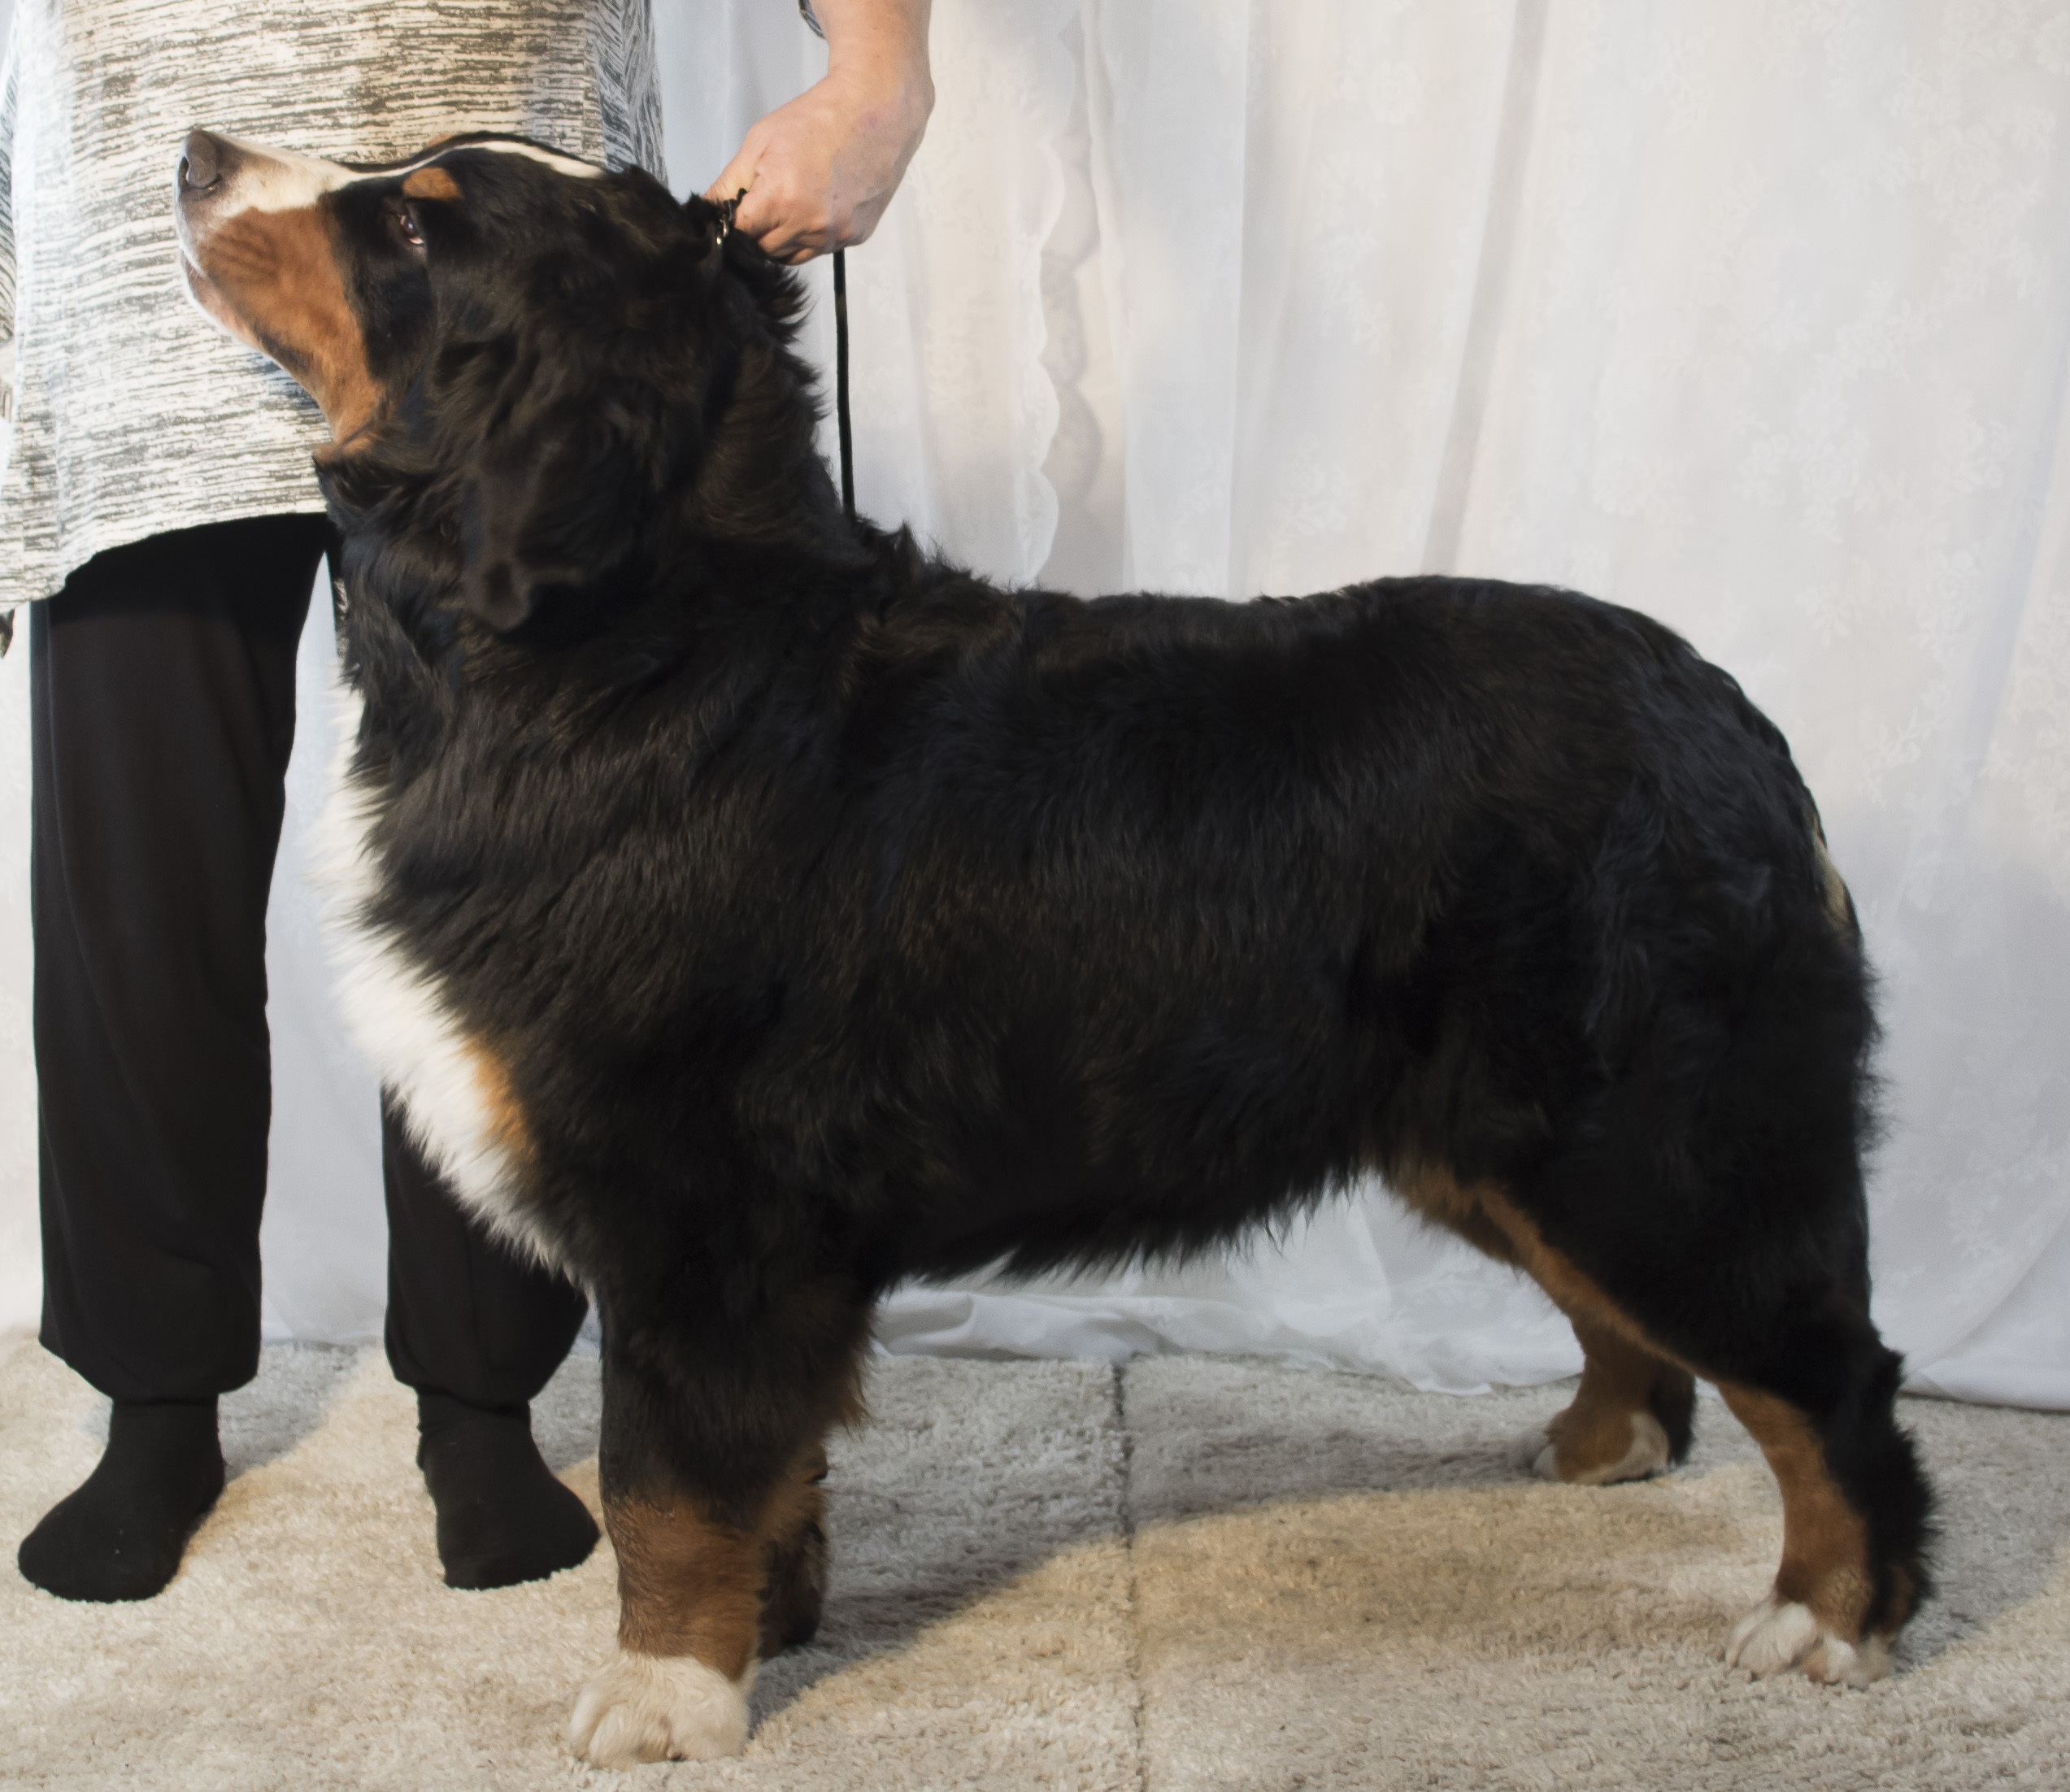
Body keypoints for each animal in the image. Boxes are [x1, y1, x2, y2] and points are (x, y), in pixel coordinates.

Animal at [173, 128, 1934, 1766]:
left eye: (414, 223)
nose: (194, 154)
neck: (616, 651)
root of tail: (1729, 720)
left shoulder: (698, 1214)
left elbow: (664, 1479)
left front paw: (666, 1696)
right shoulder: (765, 1250)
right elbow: (764, 1460)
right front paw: (778, 1619)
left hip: (1654, 1144)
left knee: (1831, 1376)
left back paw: (1827, 1617)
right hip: (1502, 1145)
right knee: (1647, 1333)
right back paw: (1597, 1446)